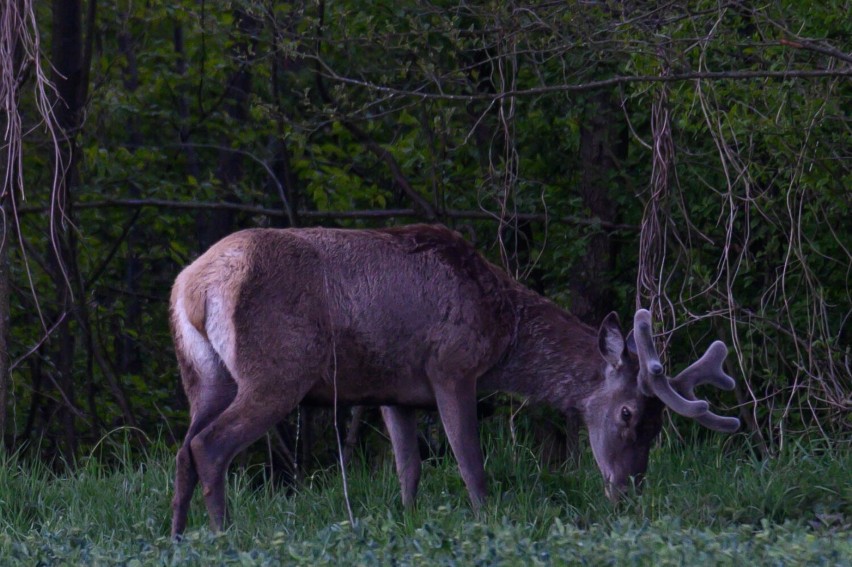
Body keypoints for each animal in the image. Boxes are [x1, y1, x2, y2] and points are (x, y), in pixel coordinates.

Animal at [168, 224, 740, 536]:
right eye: (627, 413)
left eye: (656, 427)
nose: (627, 491)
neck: (502, 328)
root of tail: (193, 286)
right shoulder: (452, 366)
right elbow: (471, 463)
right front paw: (488, 522)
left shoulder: (392, 390)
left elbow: (409, 469)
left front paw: (407, 520)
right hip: (277, 370)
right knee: (210, 445)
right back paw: (224, 534)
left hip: (202, 375)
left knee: (184, 447)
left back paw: (177, 536)